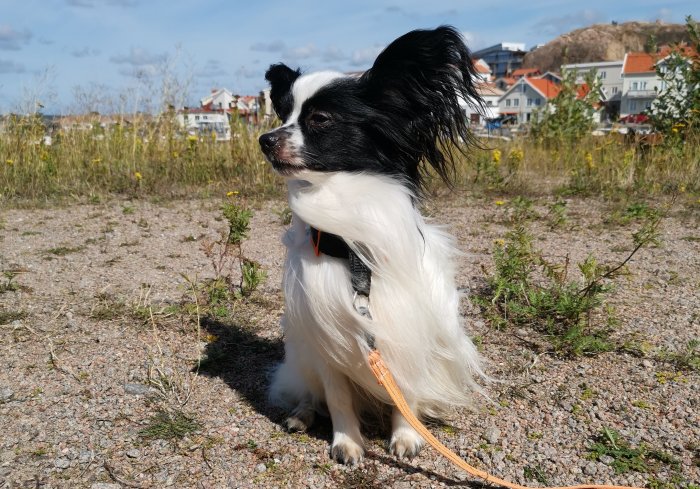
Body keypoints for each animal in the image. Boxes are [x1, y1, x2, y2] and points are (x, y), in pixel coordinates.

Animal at [258, 24, 486, 464]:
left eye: (319, 119)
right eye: (283, 114)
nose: (264, 139)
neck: (354, 251)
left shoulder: (405, 331)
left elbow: (405, 392)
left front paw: (406, 435)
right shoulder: (326, 334)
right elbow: (338, 398)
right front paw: (347, 442)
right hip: (303, 355)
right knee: (310, 393)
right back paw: (302, 414)